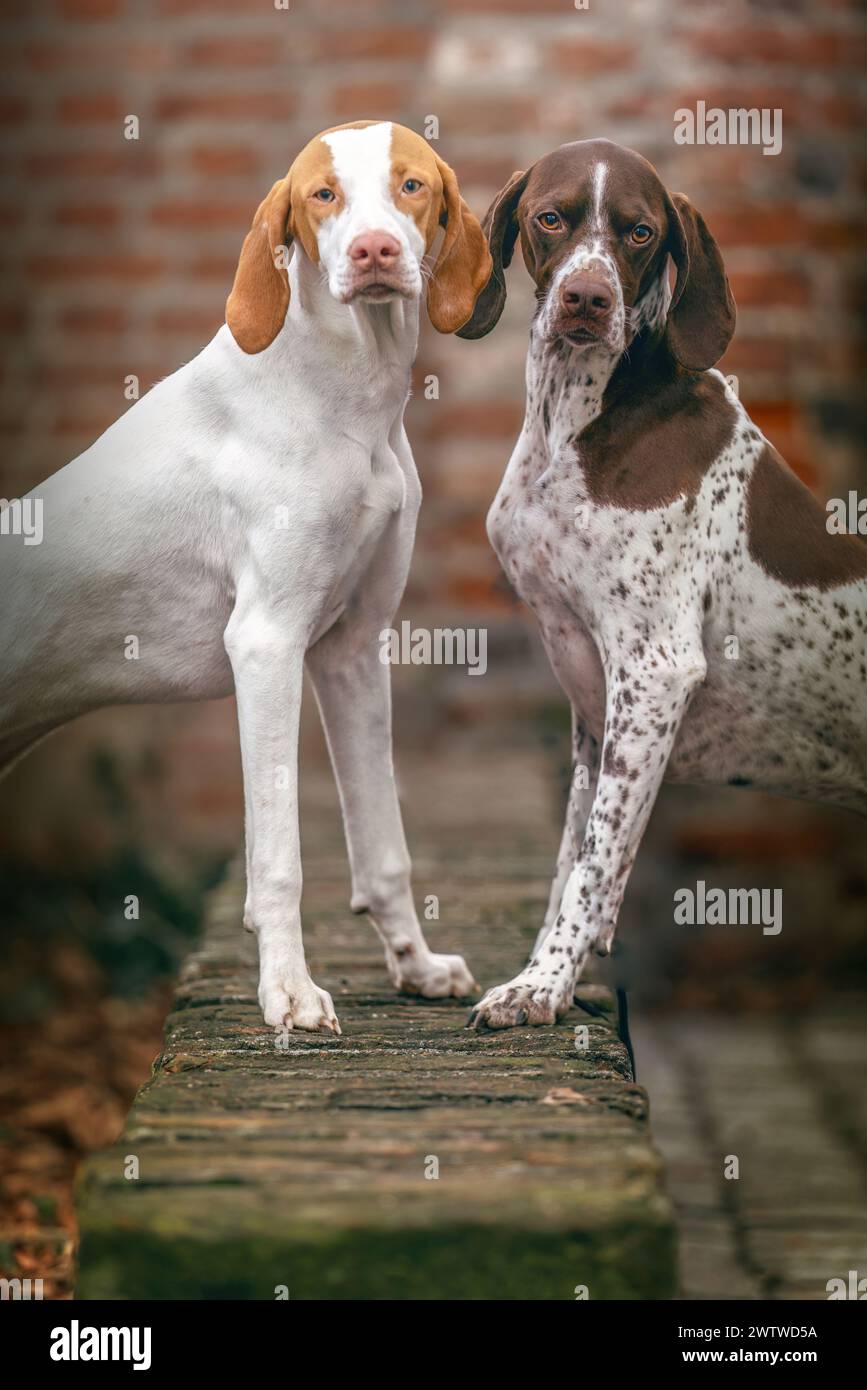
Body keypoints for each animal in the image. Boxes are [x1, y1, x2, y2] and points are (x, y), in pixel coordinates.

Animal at [0, 119, 489, 1034]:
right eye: (322, 195)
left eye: (409, 185)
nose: (372, 251)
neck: (345, 400)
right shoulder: (266, 646)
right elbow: (281, 861)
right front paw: (289, 992)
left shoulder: (350, 652)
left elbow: (383, 848)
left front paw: (414, 965)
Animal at [458, 141, 861, 1034]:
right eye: (551, 218)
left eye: (638, 232)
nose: (587, 297)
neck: (574, 423)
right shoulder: (590, 700)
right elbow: (572, 859)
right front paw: (549, 974)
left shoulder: (653, 672)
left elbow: (596, 859)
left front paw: (541, 986)